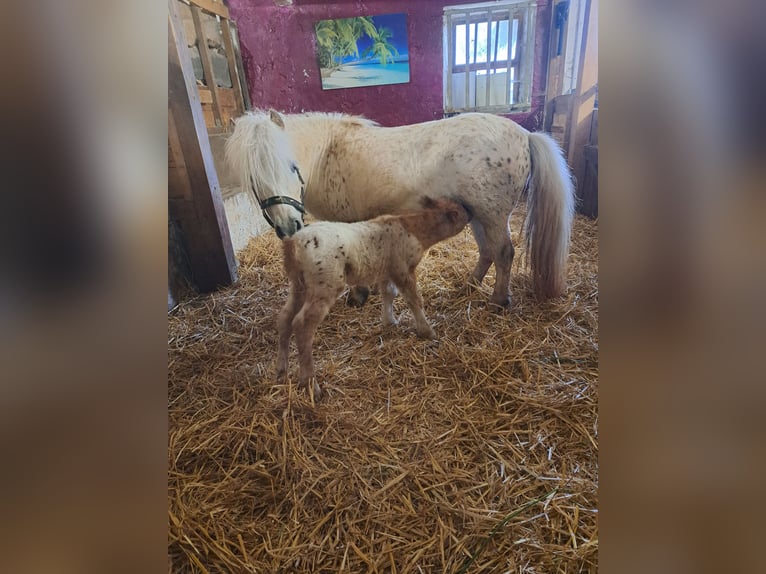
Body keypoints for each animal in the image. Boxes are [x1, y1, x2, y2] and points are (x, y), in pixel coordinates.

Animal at [228, 110, 576, 308]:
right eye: (254, 180)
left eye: (291, 166)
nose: (288, 227)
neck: (327, 153)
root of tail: (525, 134)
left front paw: (358, 297)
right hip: (479, 214)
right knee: (488, 251)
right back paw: (470, 284)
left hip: (492, 215)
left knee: (504, 253)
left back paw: (499, 301)